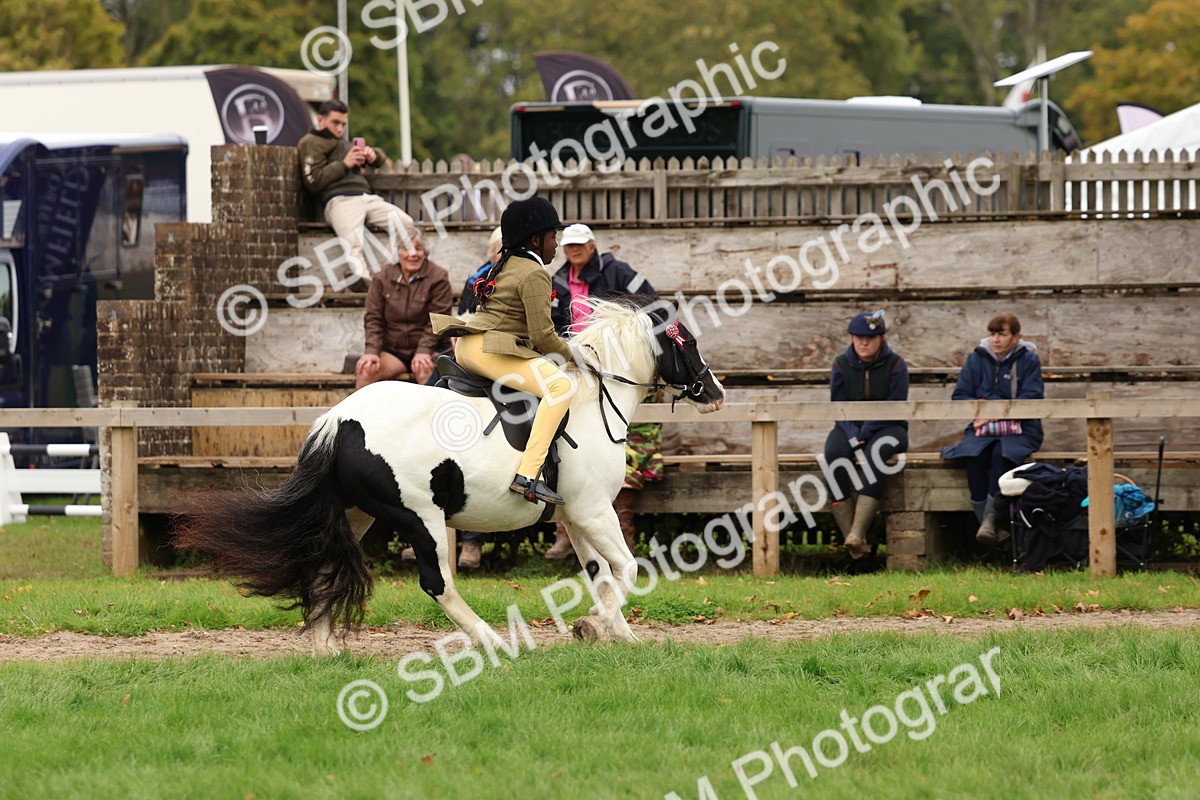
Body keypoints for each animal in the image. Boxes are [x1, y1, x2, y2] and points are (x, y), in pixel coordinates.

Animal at [175, 299, 725, 655]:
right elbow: (627, 568)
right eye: (689, 341)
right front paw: (595, 627)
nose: (716, 392)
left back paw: (327, 648)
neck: (594, 402)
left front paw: (620, 636)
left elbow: (601, 575)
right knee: (437, 583)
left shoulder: (575, 515)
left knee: (323, 565)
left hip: (355, 514)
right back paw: (491, 641)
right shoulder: (593, 510)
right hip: (421, 517)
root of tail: (338, 419)